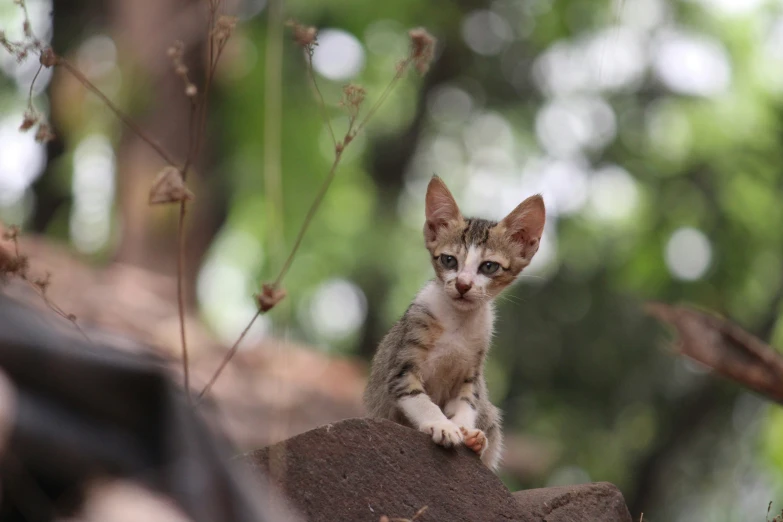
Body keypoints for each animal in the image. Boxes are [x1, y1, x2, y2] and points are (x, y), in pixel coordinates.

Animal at [362, 176, 544, 472]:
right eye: (449, 260)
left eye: (489, 266)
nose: (462, 284)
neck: (458, 323)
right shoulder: (402, 368)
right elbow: (420, 399)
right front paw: (441, 425)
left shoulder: (471, 374)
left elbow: (467, 403)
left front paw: (465, 430)